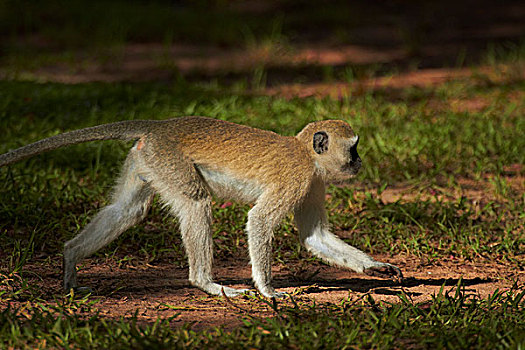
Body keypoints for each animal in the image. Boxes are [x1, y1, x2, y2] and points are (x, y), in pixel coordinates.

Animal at [1, 116, 402, 296]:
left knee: (126, 212)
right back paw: (206, 283)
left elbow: (315, 237)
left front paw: (374, 267)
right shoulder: (298, 178)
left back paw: (71, 258)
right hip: (169, 160)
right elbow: (259, 220)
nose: (360, 162)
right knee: (197, 203)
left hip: (148, 160)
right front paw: (268, 290)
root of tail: (159, 126)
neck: (306, 154)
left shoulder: (314, 183)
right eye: (353, 148)